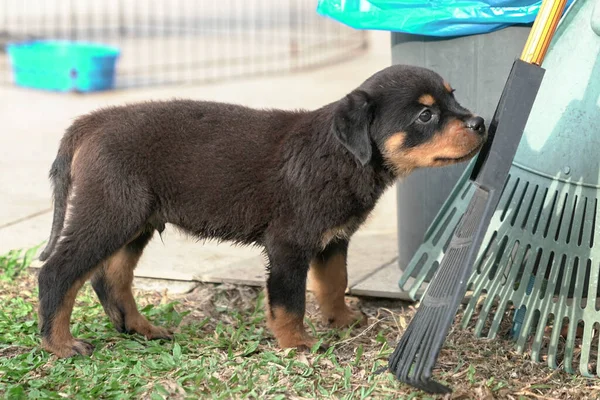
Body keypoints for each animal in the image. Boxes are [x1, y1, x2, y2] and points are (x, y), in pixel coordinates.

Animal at [36, 64, 488, 358]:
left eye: (453, 97)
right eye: (425, 114)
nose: (481, 123)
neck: (343, 156)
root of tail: (92, 122)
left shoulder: (332, 239)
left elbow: (333, 283)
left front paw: (341, 320)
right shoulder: (289, 243)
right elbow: (289, 301)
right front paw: (296, 344)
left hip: (136, 221)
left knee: (111, 278)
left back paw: (141, 329)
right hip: (112, 211)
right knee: (57, 272)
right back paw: (60, 345)